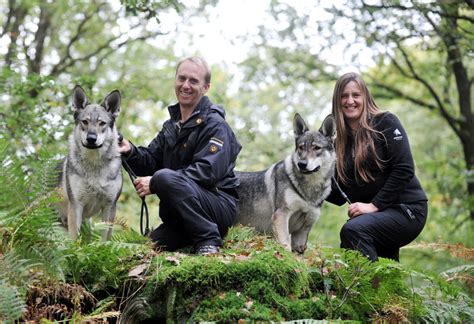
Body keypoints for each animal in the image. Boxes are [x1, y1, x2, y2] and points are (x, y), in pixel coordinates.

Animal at [57, 86, 123, 240]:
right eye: (85, 122)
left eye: (102, 123)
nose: (91, 138)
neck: (94, 165)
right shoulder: (76, 206)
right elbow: (74, 239)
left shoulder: (110, 207)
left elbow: (104, 240)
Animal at [235, 113, 336, 253]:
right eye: (301, 147)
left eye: (317, 148)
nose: (302, 164)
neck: (309, 190)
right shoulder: (281, 215)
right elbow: (285, 247)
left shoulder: (303, 231)